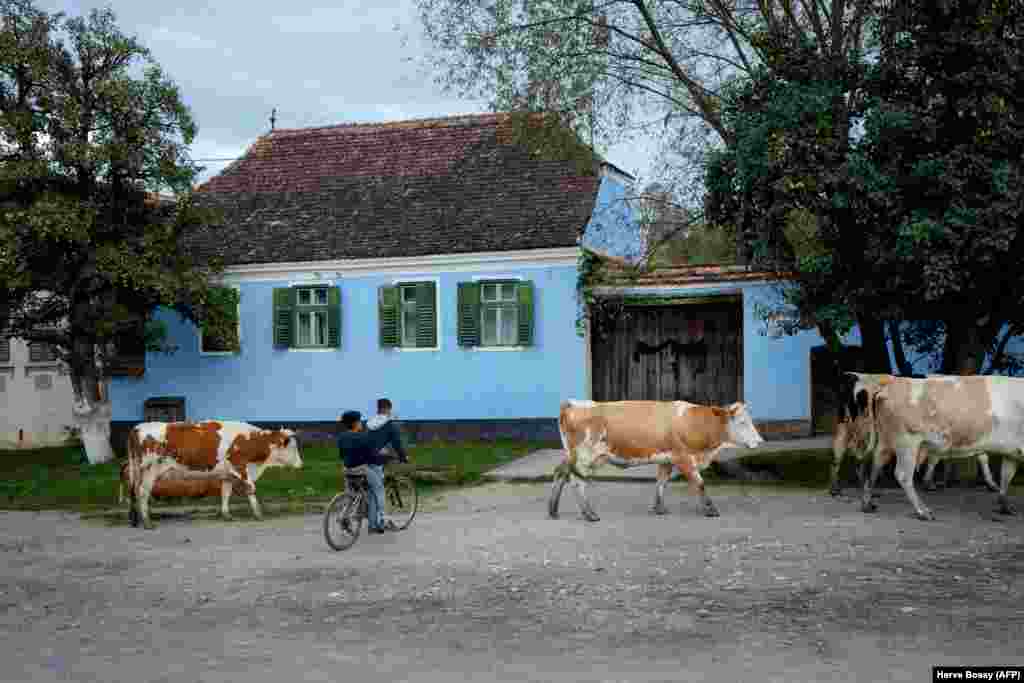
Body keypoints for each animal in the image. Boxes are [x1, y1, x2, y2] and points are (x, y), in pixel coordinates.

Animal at [125, 421, 301, 528]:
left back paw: (136, 519)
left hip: (138, 470)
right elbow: (251, 488)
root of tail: (137, 428)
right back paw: (147, 522)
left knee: (134, 491)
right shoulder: (240, 467)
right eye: (292, 447)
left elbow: (226, 493)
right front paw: (258, 514)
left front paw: (227, 515)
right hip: (150, 470)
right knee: (142, 492)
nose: (301, 464)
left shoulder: (227, 474)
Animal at [552, 397, 761, 520]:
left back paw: (553, 509)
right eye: (742, 422)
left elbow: (661, 483)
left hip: (572, 455)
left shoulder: (666, 460)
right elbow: (700, 483)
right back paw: (589, 514)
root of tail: (572, 403)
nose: (759, 441)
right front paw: (710, 510)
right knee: (577, 481)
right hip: (585, 457)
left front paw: (659, 508)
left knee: (560, 472)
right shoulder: (683, 458)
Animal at [839, 374, 1024, 518]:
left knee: (876, 464)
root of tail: (890, 386)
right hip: (907, 441)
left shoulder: (1012, 452)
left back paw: (867, 504)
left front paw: (1005, 506)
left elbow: (1006, 477)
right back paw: (923, 511)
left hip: (887, 440)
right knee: (903, 475)